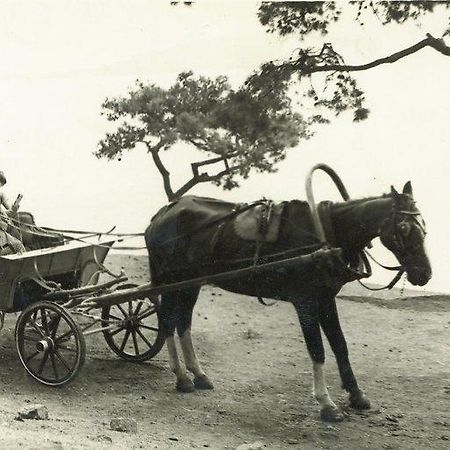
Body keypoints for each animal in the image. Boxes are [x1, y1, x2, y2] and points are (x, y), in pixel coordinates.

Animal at [145, 182, 432, 422]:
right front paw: (326, 403)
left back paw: (198, 374)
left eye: (424, 225)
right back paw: (182, 377)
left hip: (190, 283)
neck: (326, 234)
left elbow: (340, 346)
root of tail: (162, 213)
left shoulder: (326, 299)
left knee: (183, 323)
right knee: (168, 322)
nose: (424, 274)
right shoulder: (305, 301)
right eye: (404, 228)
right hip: (172, 281)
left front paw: (356, 395)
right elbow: (318, 350)